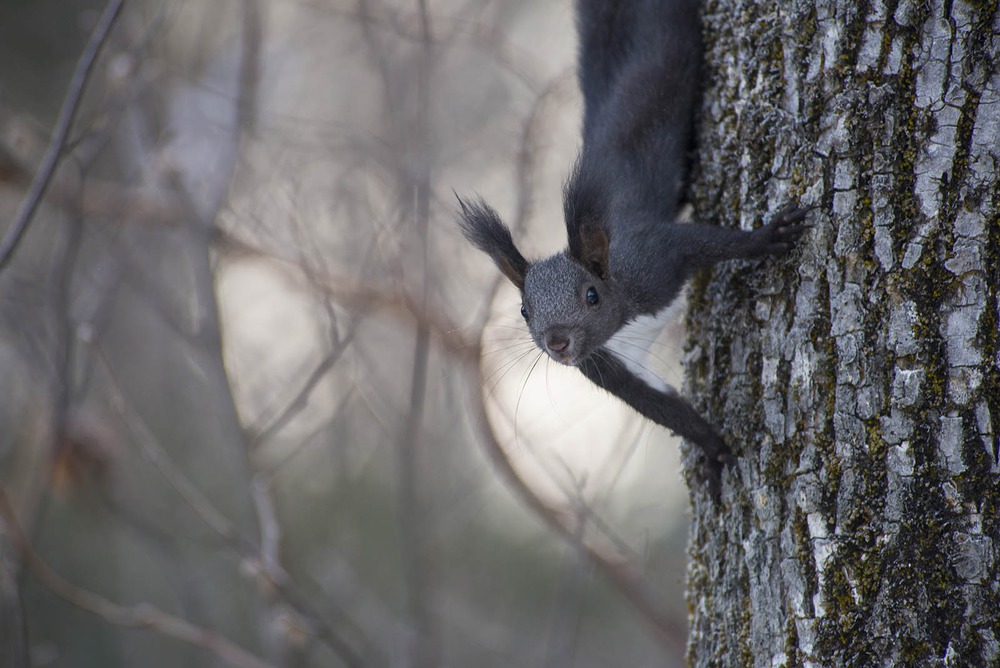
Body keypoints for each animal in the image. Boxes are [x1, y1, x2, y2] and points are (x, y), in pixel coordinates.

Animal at [458, 0, 808, 496]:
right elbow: (663, 407)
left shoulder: (654, 261)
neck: (622, 314)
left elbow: (706, 241)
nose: (558, 343)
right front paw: (713, 450)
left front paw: (767, 237)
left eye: (591, 295)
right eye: (524, 310)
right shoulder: (607, 366)